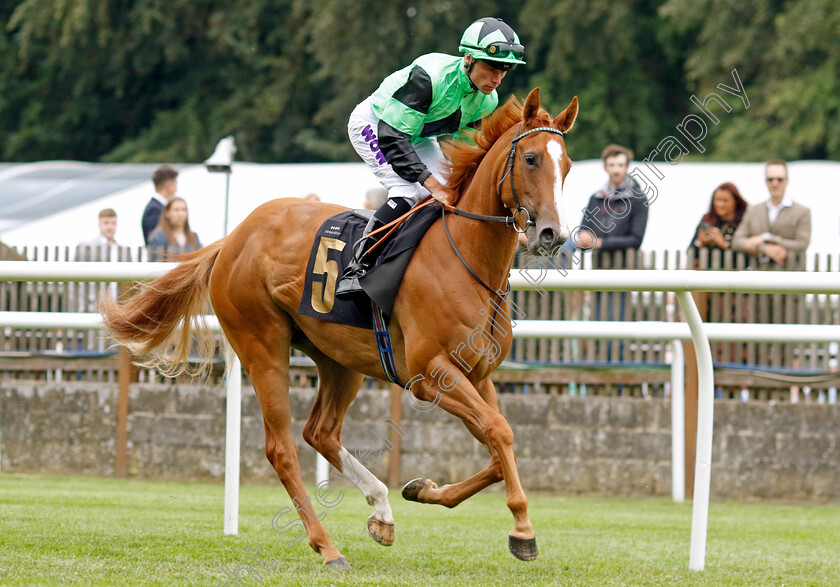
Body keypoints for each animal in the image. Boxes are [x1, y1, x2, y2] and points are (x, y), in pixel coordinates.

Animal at [101, 89, 576, 572]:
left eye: (568, 165)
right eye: (532, 158)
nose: (552, 234)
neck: (464, 256)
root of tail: (232, 237)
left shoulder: (478, 375)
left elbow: (499, 445)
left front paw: (422, 489)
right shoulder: (432, 374)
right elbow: (500, 432)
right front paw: (523, 531)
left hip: (339, 359)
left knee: (321, 432)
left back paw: (381, 508)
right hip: (262, 345)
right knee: (282, 448)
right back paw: (327, 547)